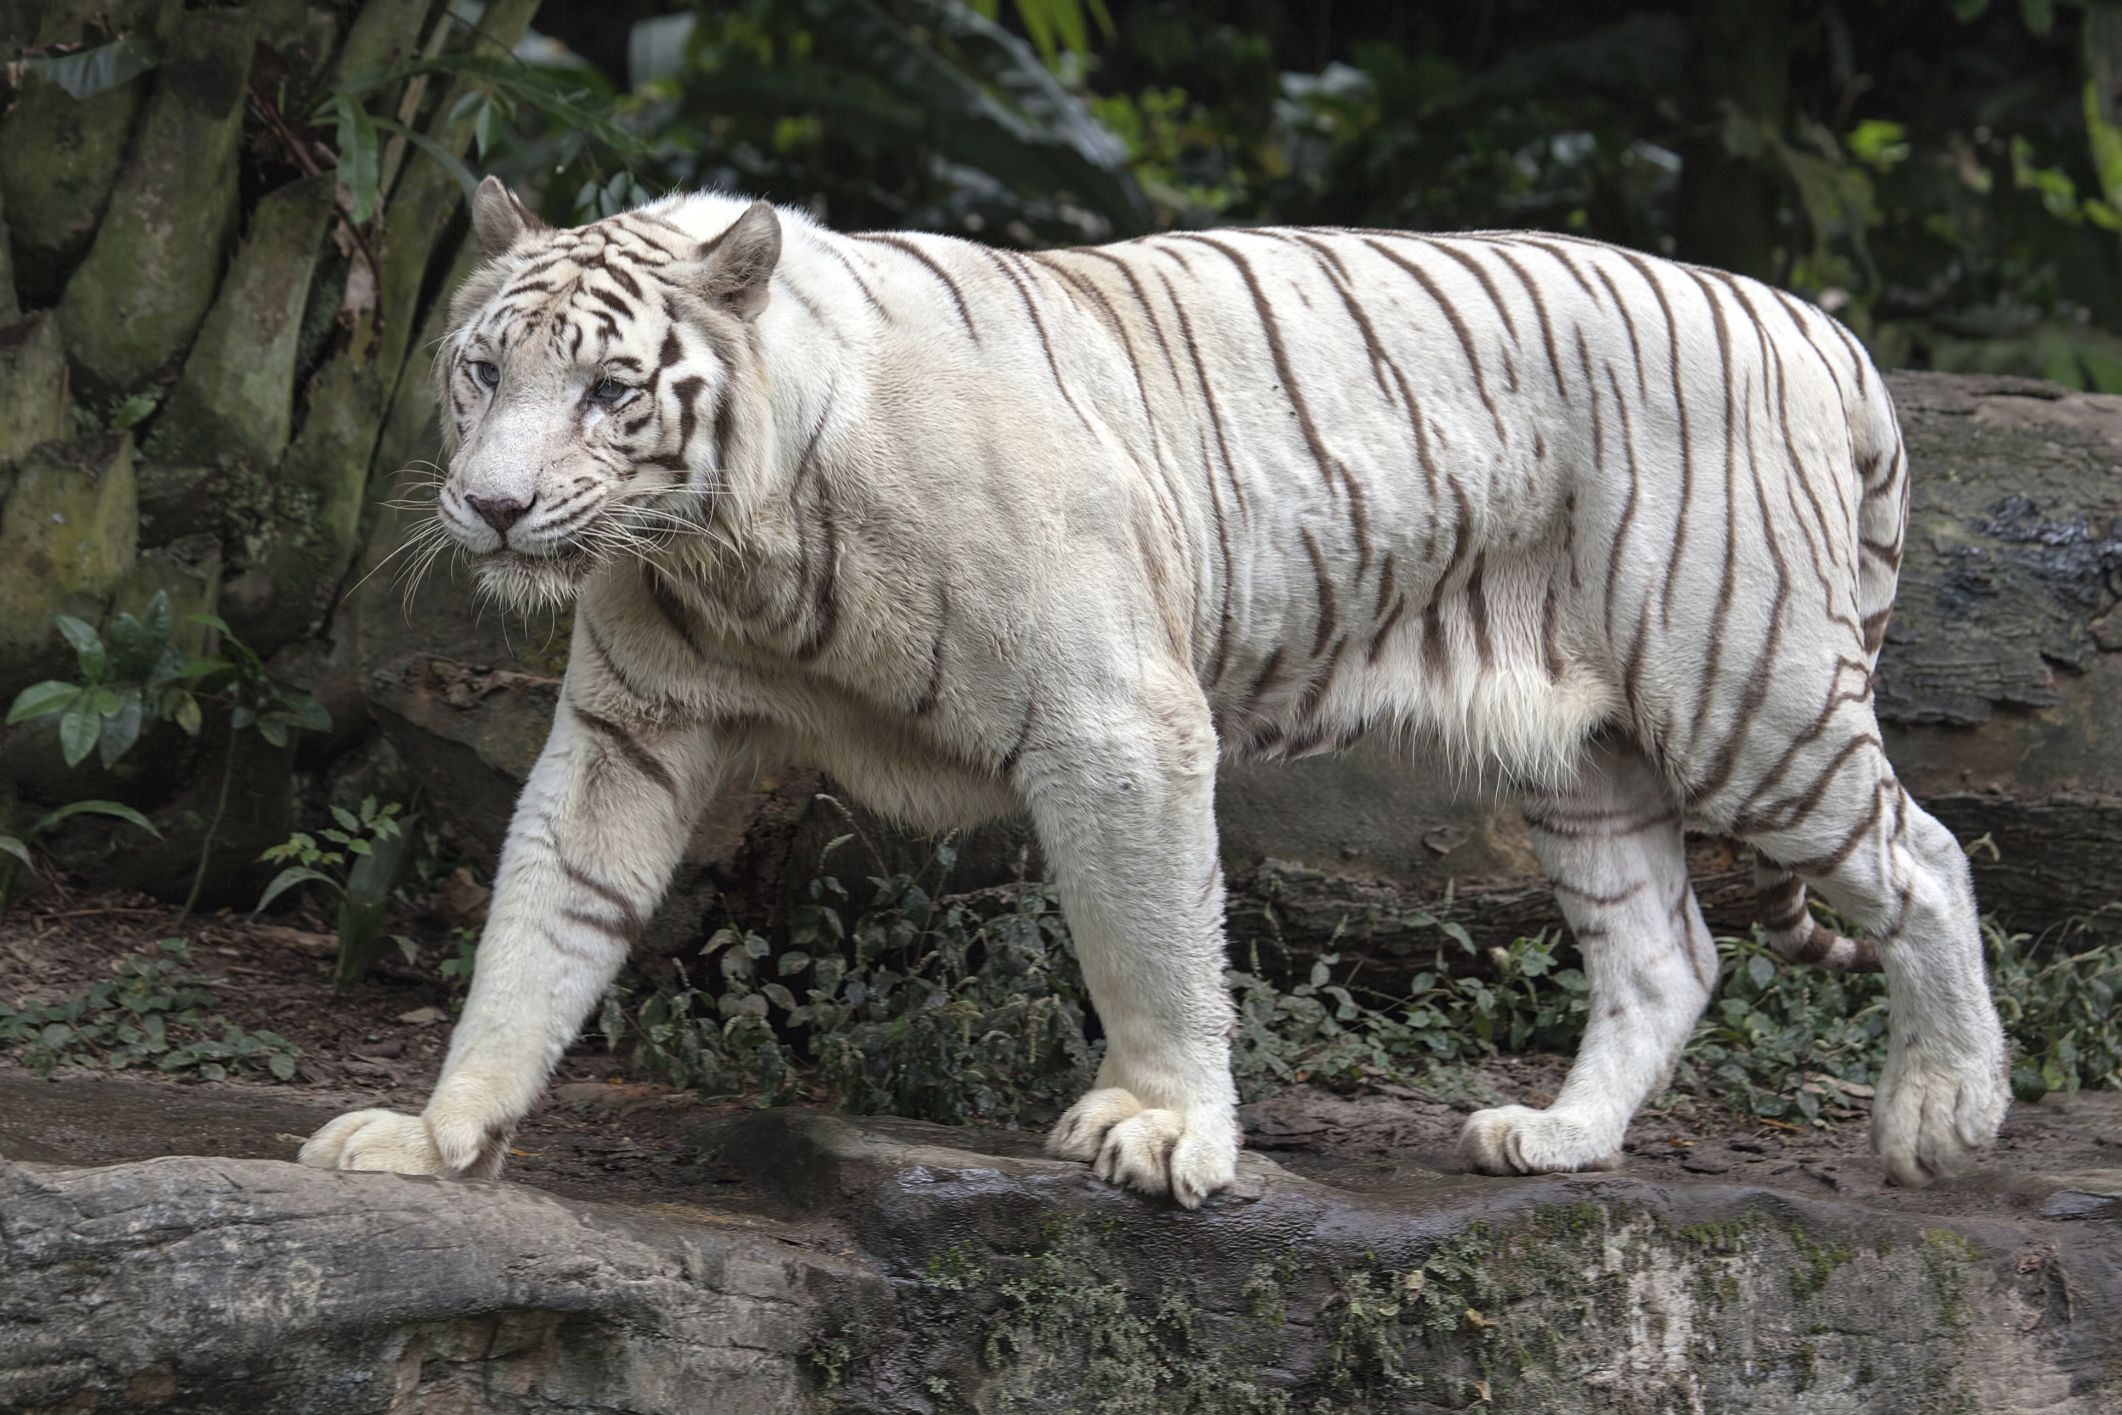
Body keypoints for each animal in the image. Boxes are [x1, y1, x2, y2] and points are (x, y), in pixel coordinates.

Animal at [294, 171, 2003, 1204]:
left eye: (608, 389)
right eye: (479, 370)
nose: (492, 507)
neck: (734, 548)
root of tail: (1816, 326)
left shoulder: (1113, 714)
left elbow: (1147, 940)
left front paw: (1167, 1127)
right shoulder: (631, 730)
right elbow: (541, 921)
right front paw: (435, 1133)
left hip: (1739, 689)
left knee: (1921, 856)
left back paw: (1944, 1111)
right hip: (1575, 749)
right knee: (1664, 948)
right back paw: (1558, 1137)